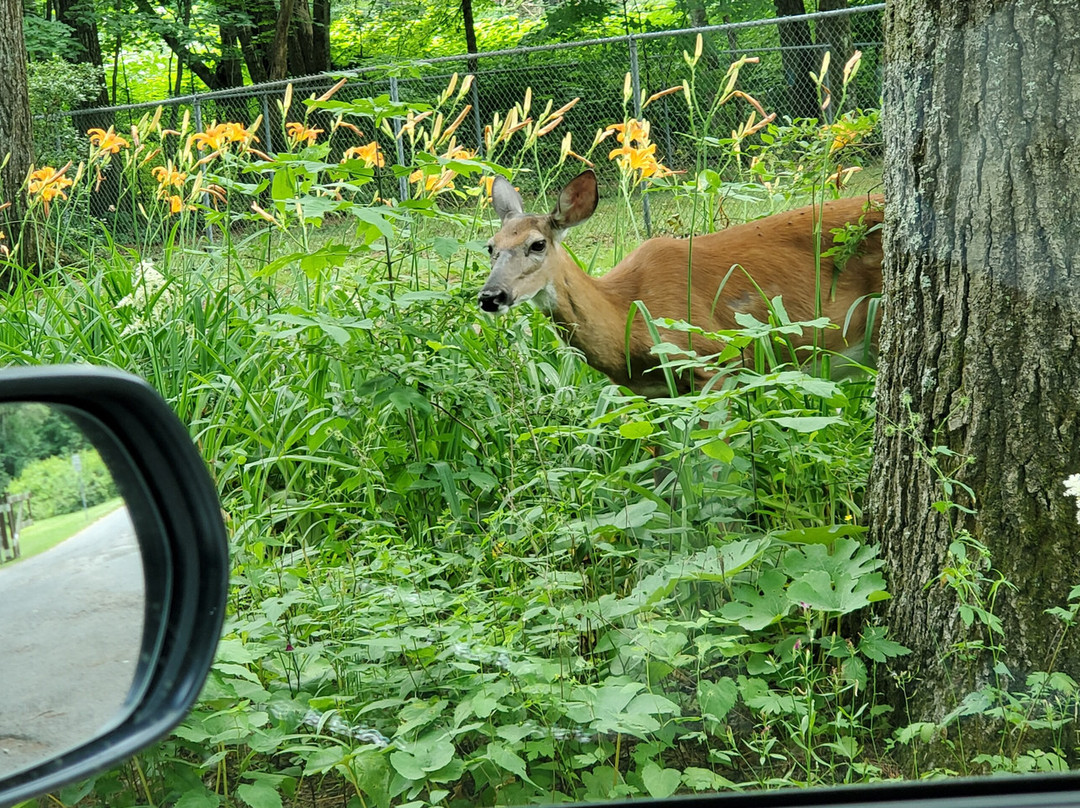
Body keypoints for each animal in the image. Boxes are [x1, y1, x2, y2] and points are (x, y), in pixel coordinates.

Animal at [477, 169, 881, 397]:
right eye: (490, 247)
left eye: (537, 244)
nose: (490, 296)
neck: (626, 313)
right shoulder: (651, 392)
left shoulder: (713, 363)